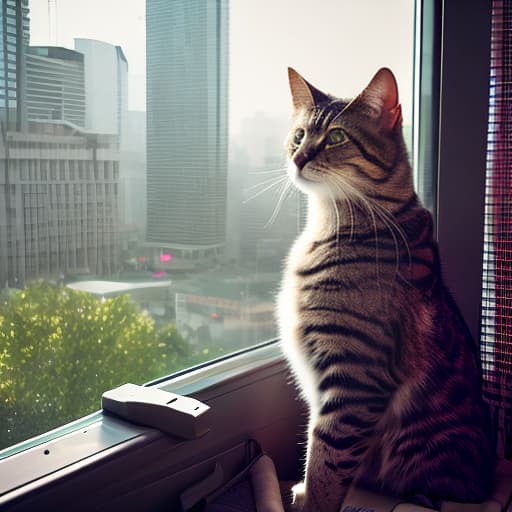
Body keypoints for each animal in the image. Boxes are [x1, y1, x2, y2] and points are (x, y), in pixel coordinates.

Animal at [278, 67, 494, 508]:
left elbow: (326, 458)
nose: (298, 157)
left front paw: (313, 499)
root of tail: (485, 482)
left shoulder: (355, 381)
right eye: (299, 134)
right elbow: (316, 445)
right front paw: (304, 489)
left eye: (336, 137)